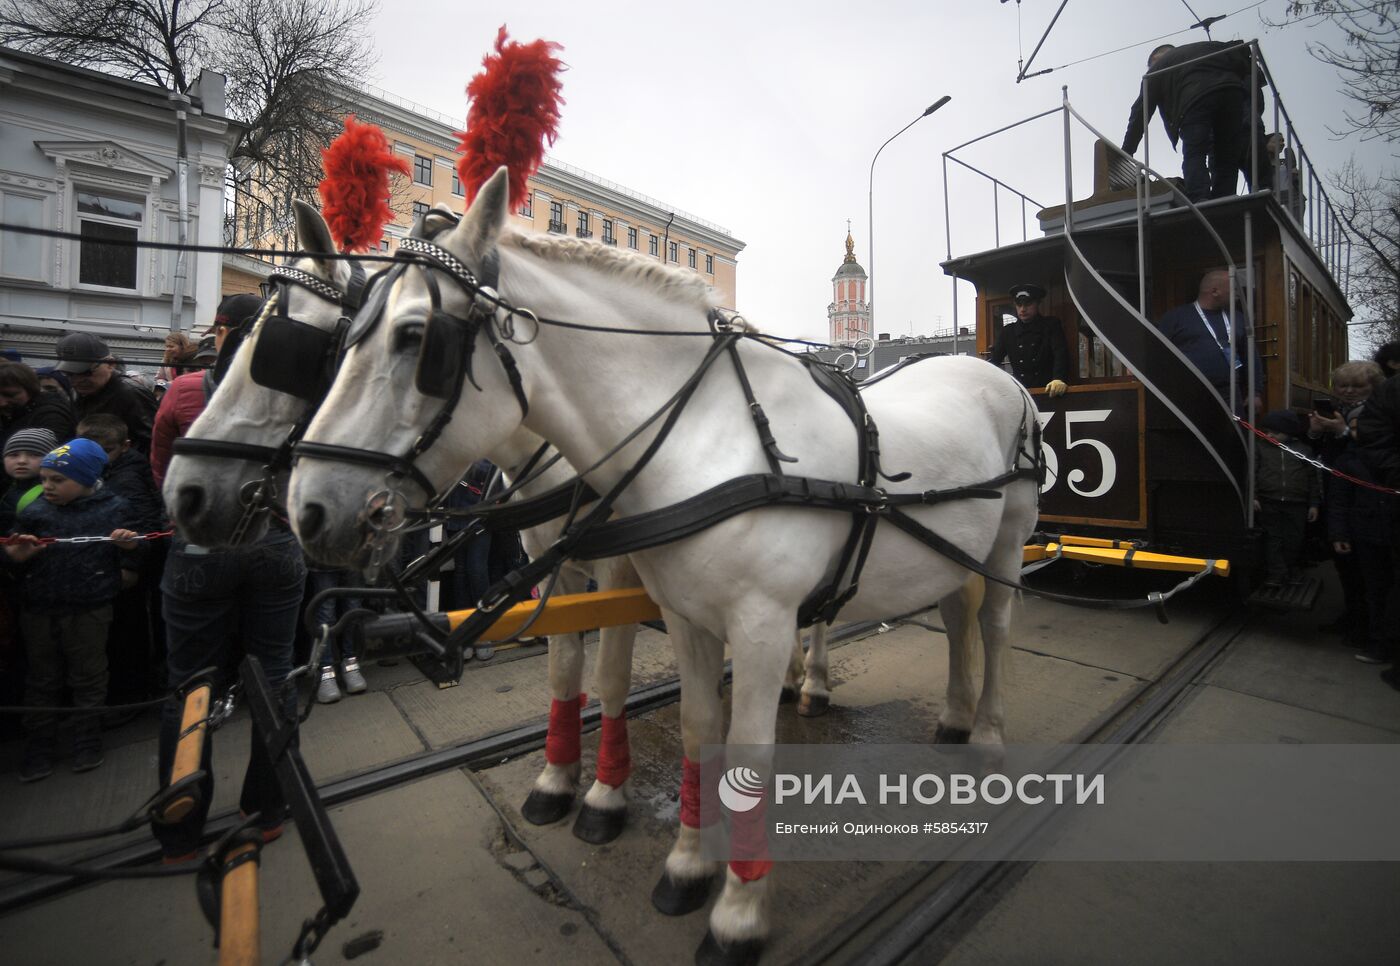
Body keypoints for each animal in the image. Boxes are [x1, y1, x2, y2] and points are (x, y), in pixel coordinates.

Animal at [284, 169, 1036, 957]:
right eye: (342, 338)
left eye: (415, 337)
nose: (307, 507)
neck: (711, 437)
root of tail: (990, 372)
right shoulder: (680, 613)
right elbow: (694, 727)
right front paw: (685, 864)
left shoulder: (755, 622)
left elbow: (741, 748)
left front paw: (738, 911)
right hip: (953, 552)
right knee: (953, 614)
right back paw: (945, 715)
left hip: (1008, 541)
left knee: (994, 627)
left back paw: (985, 736)